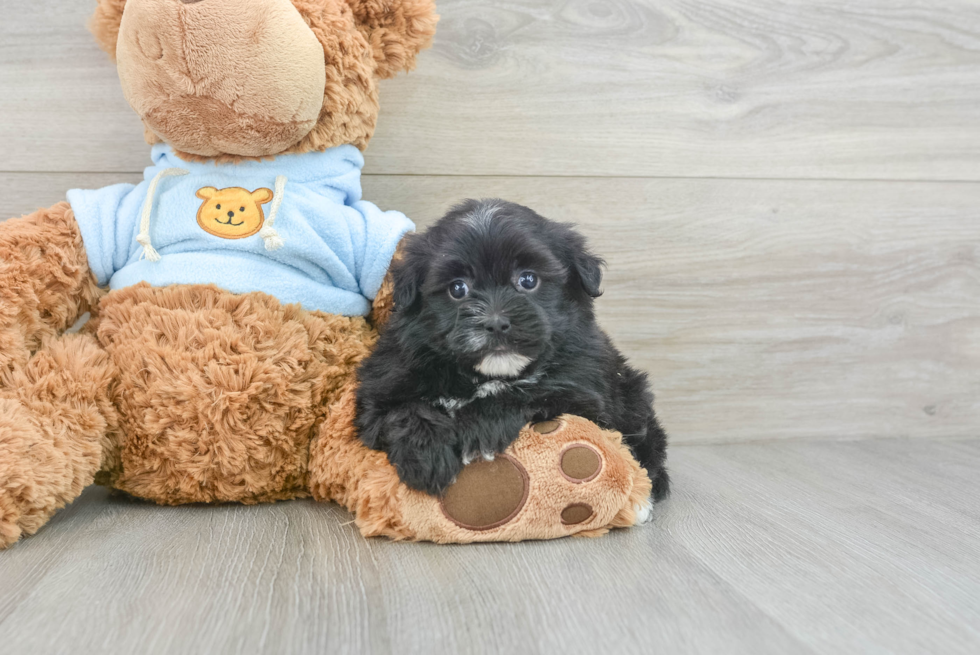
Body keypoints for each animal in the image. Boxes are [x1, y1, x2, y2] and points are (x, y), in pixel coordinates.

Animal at [356, 200, 668, 508]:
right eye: (457, 288)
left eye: (528, 280)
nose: (495, 323)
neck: (484, 375)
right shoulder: (382, 385)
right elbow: (400, 411)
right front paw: (427, 455)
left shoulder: (585, 391)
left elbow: (529, 391)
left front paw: (475, 428)